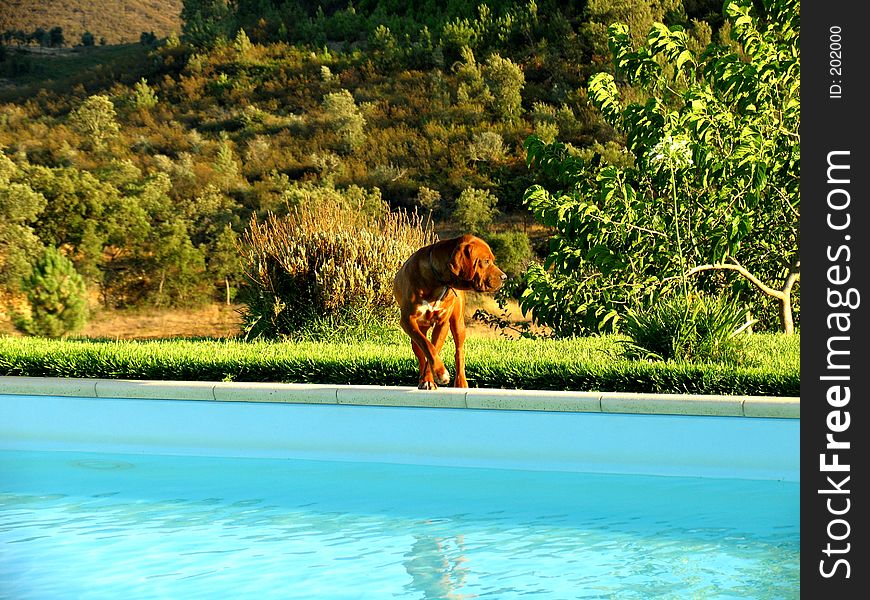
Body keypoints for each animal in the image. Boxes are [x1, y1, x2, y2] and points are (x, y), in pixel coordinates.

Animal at [394, 234, 508, 390]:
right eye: (486, 261)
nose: (504, 277)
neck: (438, 282)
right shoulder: (408, 320)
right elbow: (427, 346)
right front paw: (434, 376)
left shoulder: (443, 323)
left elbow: (434, 348)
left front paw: (434, 376)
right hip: (417, 333)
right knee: (420, 351)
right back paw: (423, 379)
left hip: (458, 324)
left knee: (459, 352)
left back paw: (460, 382)